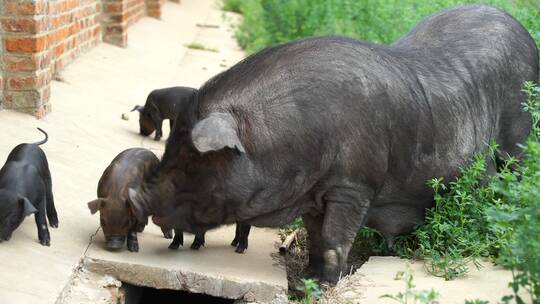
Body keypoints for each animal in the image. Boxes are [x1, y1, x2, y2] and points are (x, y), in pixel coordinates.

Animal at [129, 4, 536, 284]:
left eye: (190, 159)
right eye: (171, 148)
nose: (140, 198)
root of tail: (522, 30)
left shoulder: (354, 185)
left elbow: (334, 238)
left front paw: (325, 284)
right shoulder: (312, 193)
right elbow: (315, 234)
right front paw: (308, 276)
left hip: (518, 137)